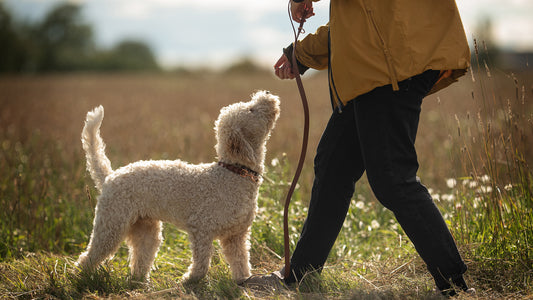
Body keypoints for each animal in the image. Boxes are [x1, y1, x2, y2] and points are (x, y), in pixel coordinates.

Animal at [78, 91, 280, 284]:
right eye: (251, 110)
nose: (267, 93)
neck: (234, 173)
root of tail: (110, 176)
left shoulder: (236, 236)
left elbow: (241, 262)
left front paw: (244, 281)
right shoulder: (201, 229)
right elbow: (202, 263)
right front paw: (189, 280)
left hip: (145, 229)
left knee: (140, 258)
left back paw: (141, 283)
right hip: (111, 225)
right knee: (87, 257)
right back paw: (83, 279)